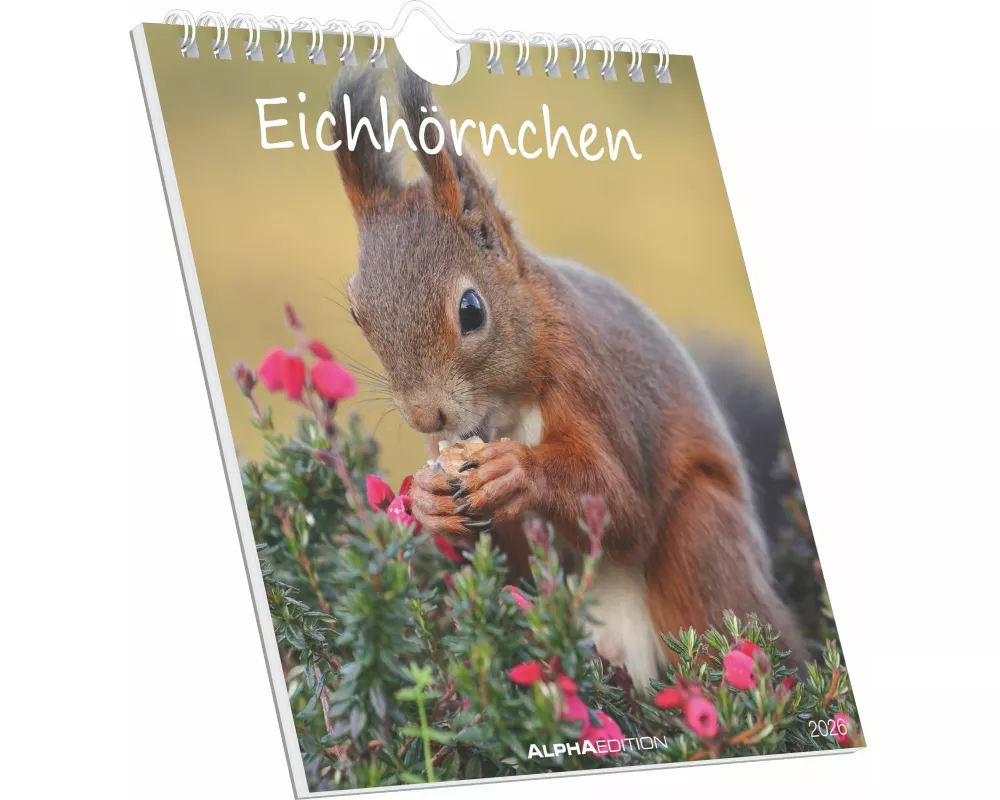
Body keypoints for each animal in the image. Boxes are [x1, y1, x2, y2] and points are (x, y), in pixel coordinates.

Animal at [330, 66, 807, 692]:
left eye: (471, 310)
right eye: (356, 313)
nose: (424, 415)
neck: (507, 404)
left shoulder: (587, 375)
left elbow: (624, 506)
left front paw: (515, 472)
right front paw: (430, 502)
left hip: (703, 538)